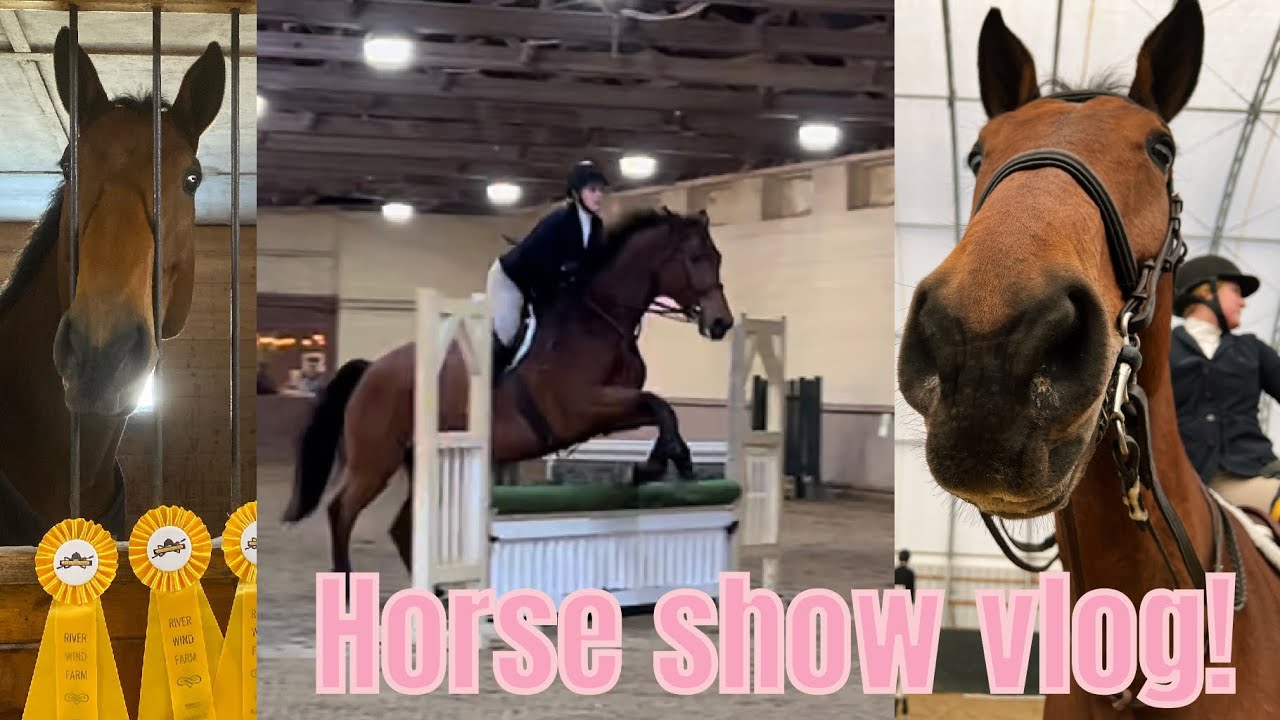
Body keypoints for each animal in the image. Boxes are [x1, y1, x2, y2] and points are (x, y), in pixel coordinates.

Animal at [283, 207, 735, 576]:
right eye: (695, 258)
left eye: (718, 257)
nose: (721, 323)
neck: (600, 319)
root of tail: (371, 368)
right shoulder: (580, 408)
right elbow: (659, 406)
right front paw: (671, 463)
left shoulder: (610, 410)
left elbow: (660, 408)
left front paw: (658, 464)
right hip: (375, 460)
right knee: (341, 511)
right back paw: (345, 585)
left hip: (417, 459)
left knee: (400, 525)